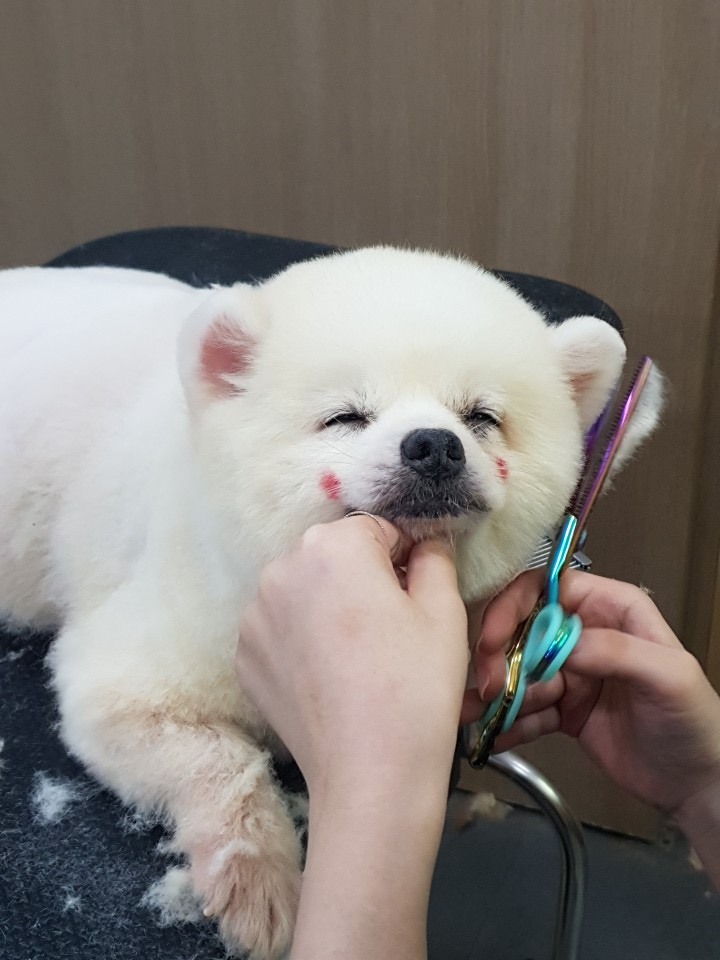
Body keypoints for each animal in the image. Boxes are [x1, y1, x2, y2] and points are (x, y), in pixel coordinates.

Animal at [0, 247, 660, 957]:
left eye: (481, 418)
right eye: (345, 417)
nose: (435, 444)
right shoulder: (125, 679)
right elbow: (217, 760)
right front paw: (259, 876)